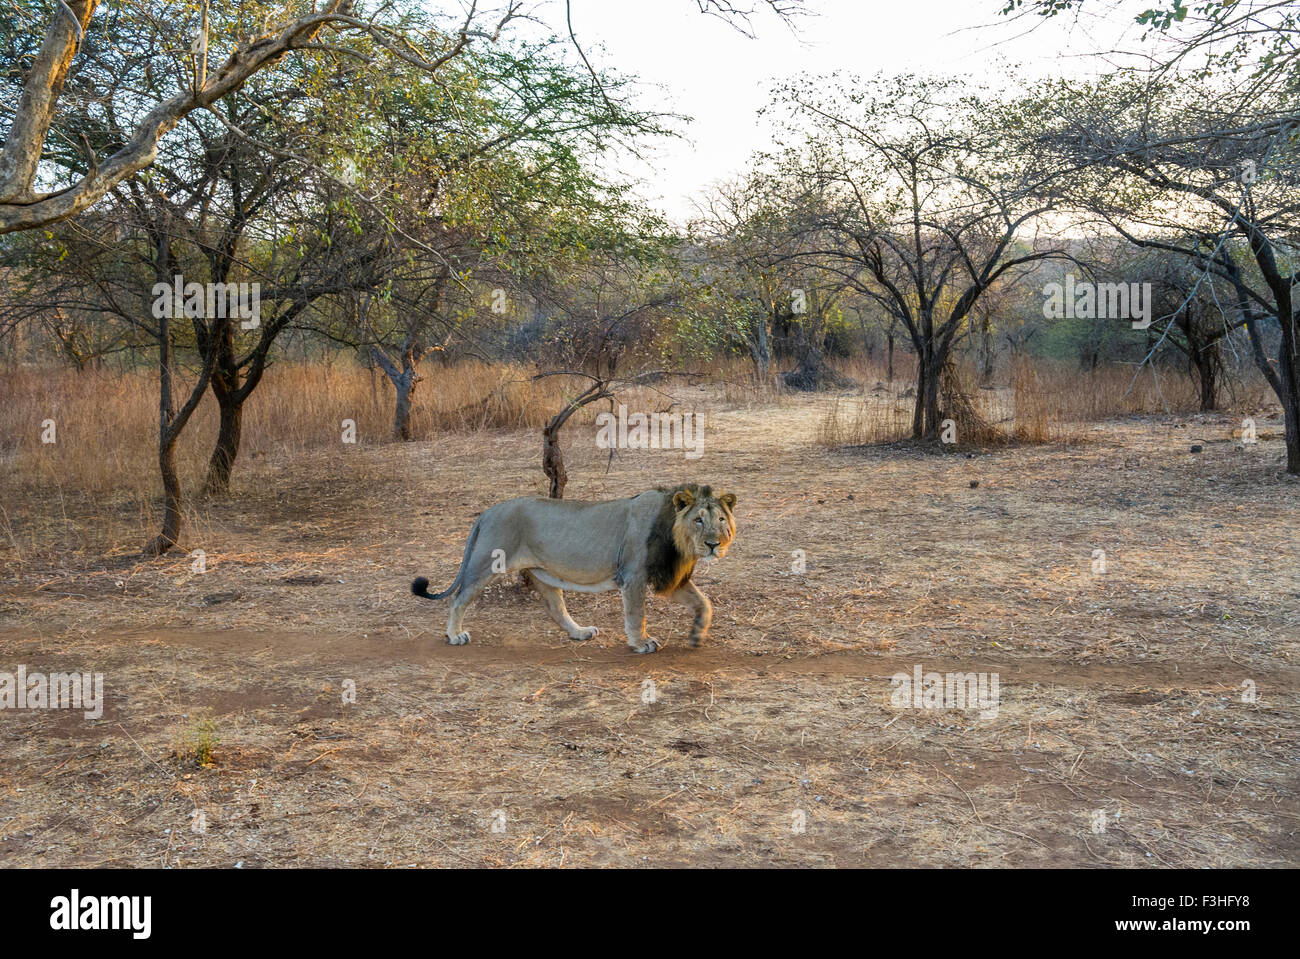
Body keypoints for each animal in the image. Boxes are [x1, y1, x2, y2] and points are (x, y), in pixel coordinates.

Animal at [411, 483, 736, 654]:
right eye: (698, 520)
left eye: (721, 519)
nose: (713, 544)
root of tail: (488, 511)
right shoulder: (633, 575)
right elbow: (636, 615)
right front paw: (641, 643)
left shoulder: (670, 577)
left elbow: (704, 603)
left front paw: (697, 635)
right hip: (485, 564)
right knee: (458, 599)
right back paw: (454, 635)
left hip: (543, 574)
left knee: (557, 609)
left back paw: (580, 632)